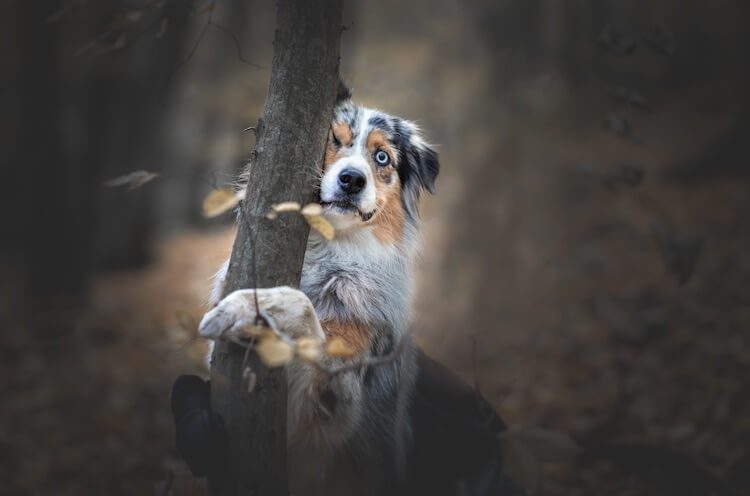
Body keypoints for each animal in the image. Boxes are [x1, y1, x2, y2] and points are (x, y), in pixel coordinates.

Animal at [173, 88, 520, 496]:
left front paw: (252, 305)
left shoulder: (333, 408)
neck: (329, 251)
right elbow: (184, 385)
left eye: (382, 156)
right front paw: (197, 430)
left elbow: (304, 309)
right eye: (333, 141)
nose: (352, 179)